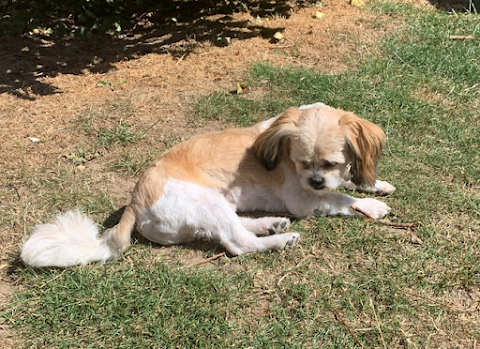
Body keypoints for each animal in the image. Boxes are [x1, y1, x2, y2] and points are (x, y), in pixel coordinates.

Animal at [20, 102, 396, 266]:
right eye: (303, 164)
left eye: (330, 163)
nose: (316, 180)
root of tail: (135, 203)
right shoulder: (303, 198)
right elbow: (339, 199)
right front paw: (370, 205)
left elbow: (352, 182)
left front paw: (375, 184)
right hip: (205, 201)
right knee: (238, 243)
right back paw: (280, 239)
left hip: (215, 204)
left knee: (235, 228)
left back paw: (271, 223)